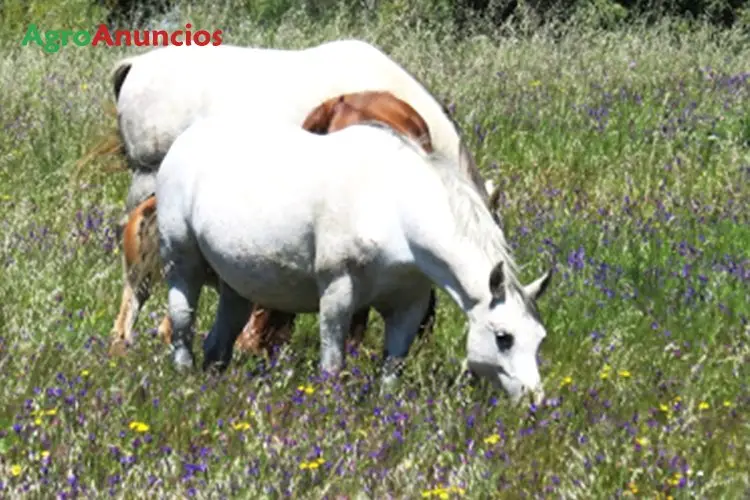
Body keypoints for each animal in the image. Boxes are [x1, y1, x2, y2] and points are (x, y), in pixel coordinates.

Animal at [156, 116, 556, 402]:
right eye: (503, 337)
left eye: (539, 338)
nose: (535, 401)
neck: (393, 206)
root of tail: (185, 140)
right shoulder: (338, 292)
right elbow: (332, 365)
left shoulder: (408, 304)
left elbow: (392, 370)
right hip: (182, 263)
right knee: (182, 322)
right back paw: (184, 379)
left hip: (237, 284)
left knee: (218, 343)